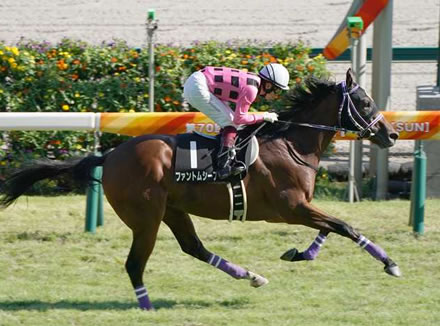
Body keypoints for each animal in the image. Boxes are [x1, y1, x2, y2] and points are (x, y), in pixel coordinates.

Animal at [0, 69, 398, 310]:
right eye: (364, 103)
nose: (391, 134)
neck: (292, 144)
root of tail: (109, 155)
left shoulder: (301, 207)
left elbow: (330, 229)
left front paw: (299, 254)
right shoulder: (290, 208)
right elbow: (345, 226)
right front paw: (391, 264)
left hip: (173, 210)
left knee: (194, 248)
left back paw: (252, 276)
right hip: (146, 217)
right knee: (135, 263)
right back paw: (147, 307)